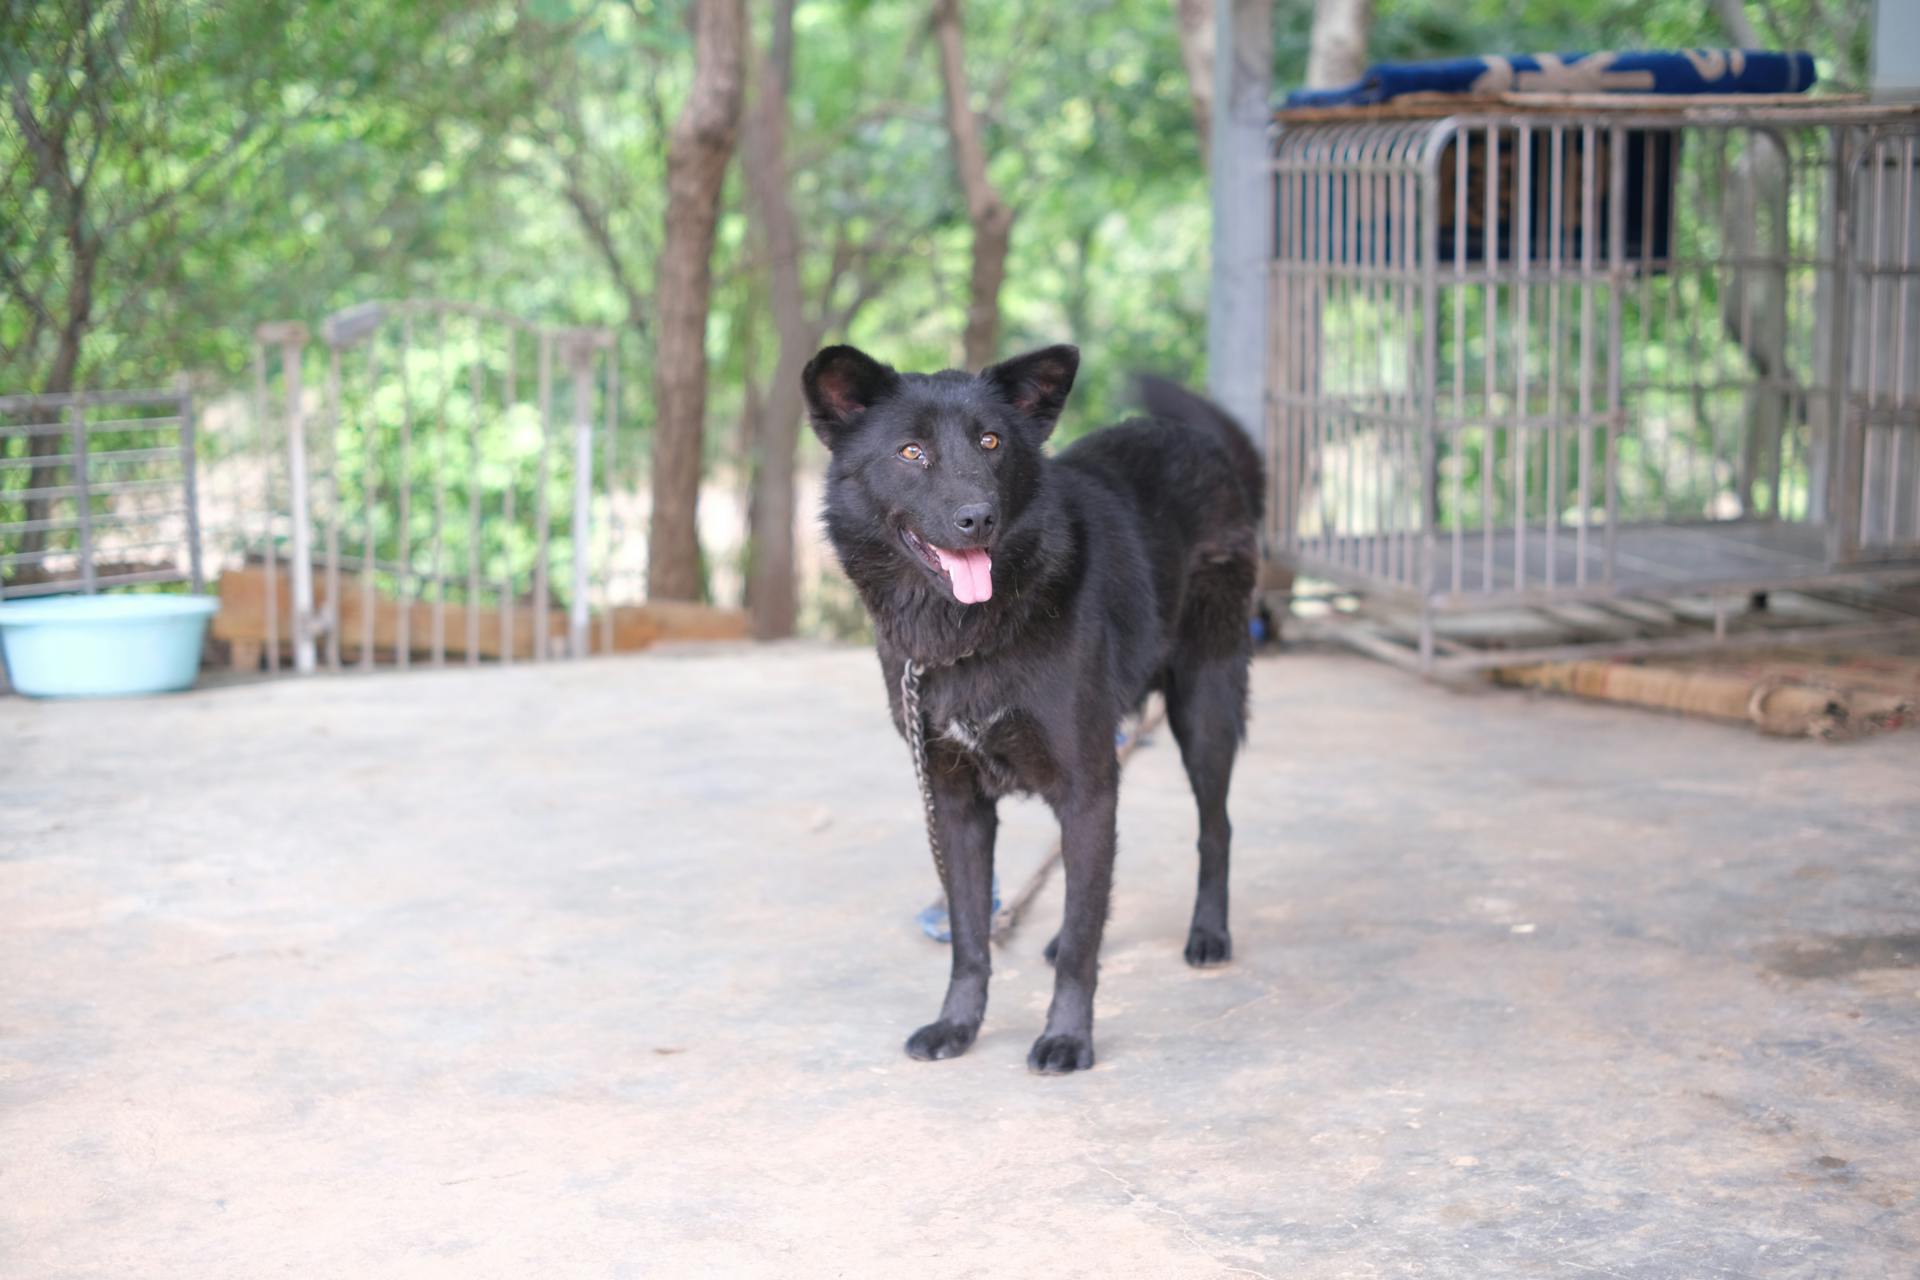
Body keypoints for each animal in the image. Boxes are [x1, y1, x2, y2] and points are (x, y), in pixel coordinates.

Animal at [802, 345, 1267, 1074]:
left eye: (992, 442)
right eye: (911, 452)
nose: (977, 518)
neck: (969, 635)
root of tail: (1202, 445)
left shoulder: (1084, 786)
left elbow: (1079, 944)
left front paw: (1068, 1037)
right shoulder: (953, 799)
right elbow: (970, 933)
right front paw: (957, 1025)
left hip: (1205, 705)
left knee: (1214, 828)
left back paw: (1208, 934)